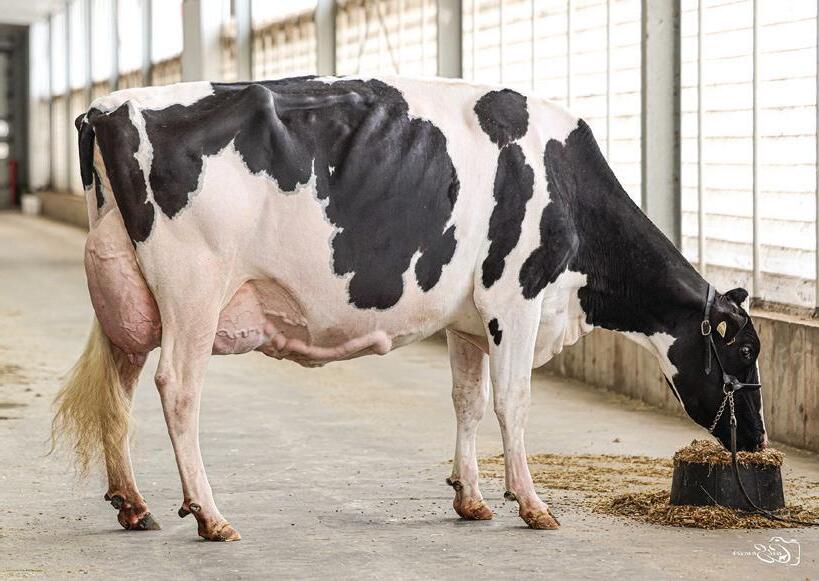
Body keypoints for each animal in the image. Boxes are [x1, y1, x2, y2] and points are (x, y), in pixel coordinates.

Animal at [52, 76, 766, 542]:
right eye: (744, 349)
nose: (757, 439)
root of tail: (109, 107)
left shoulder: (470, 318)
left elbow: (468, 401)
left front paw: (471, 498)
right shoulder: (516, 295)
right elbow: (512, 402)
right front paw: (532, 504)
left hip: (129, 294)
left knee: (119, 387)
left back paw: (133, 504)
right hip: (193, 288)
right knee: (177, 388)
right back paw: (209, 515)